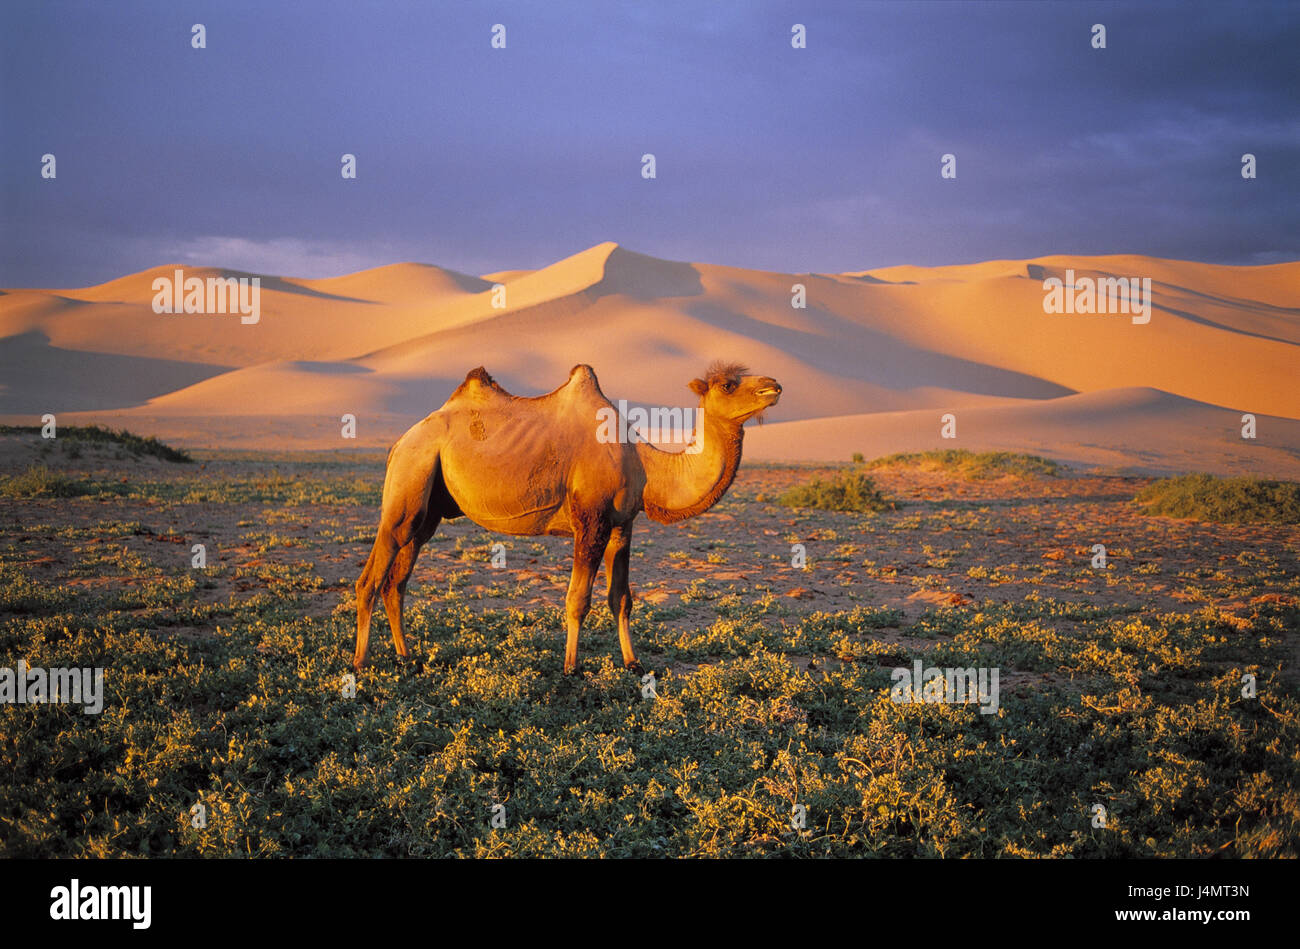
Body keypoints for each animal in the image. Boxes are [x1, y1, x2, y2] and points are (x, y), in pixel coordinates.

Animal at [351, 356, 780, 670]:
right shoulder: (589, 519)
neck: (642, 462)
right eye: (728, 385)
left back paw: (407, 657)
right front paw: (571, 667)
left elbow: (621, 598)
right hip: (410, 477)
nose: (774, 385)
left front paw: (632, 663)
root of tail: (398, 443)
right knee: (371, 578)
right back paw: (360, 664)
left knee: (396, 581)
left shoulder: (622, 525)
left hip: (428, 510)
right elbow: (578, 599)